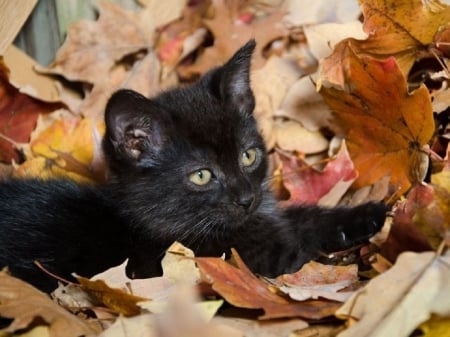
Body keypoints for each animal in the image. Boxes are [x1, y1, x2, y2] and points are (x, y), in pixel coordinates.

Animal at [0, 40, 386, 290]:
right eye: (201, 175)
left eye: (248, 155)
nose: (246, 198)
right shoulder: (241, 258)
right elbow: (300, 254)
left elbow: (302, 218)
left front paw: (364, 216)